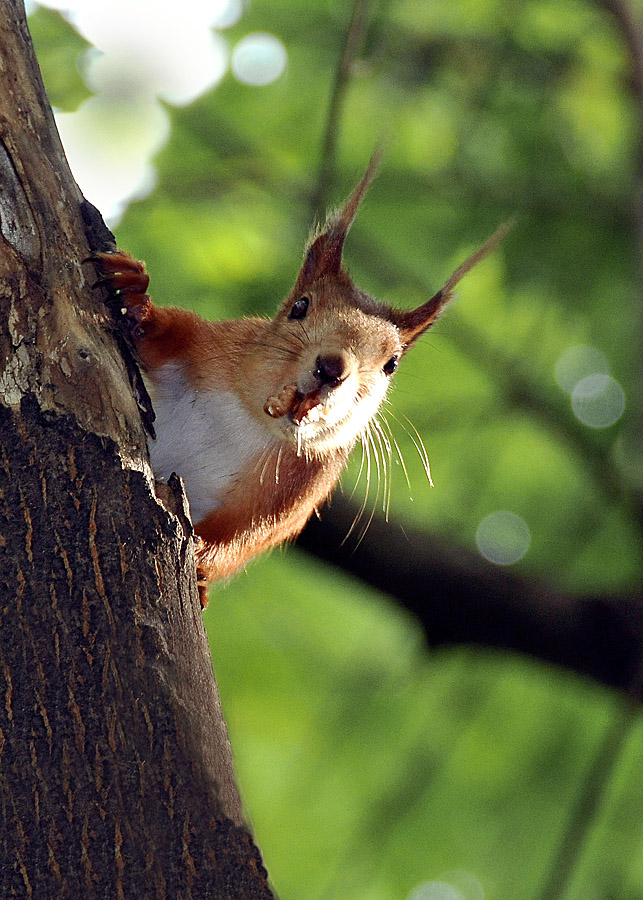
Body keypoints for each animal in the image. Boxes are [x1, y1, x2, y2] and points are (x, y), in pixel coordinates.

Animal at [92, 155, 512, 604]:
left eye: (392, 363)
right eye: (300, 307)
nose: (331, 368)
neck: (253, 421)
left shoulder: (305, 484)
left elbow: (249, 536)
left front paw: (204, 559)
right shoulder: (205, 342)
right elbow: (165, 334)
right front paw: (135, 298)